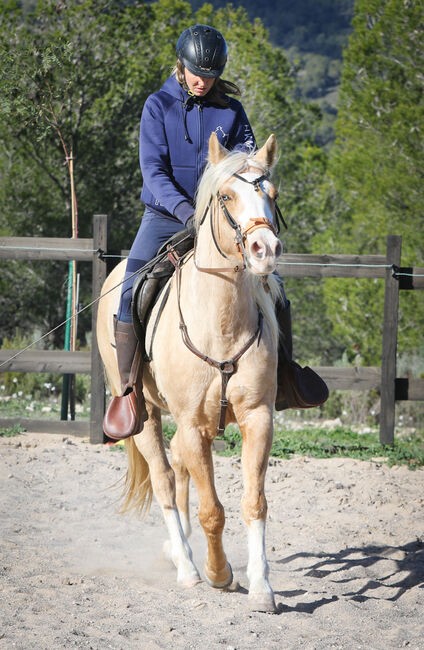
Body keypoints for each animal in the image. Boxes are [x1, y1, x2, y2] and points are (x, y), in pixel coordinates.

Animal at [97, 134, 284, 612]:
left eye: (272, 195)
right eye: (225, 196)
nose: (265, 249)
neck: (219, 323)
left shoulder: (258, 418)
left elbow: (254, 503)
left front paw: (262, 587)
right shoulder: (195, 426)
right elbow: (211, 510)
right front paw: (220, 574)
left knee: (178, 470)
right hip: (144, 416)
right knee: (165, 479)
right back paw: (186, 566)